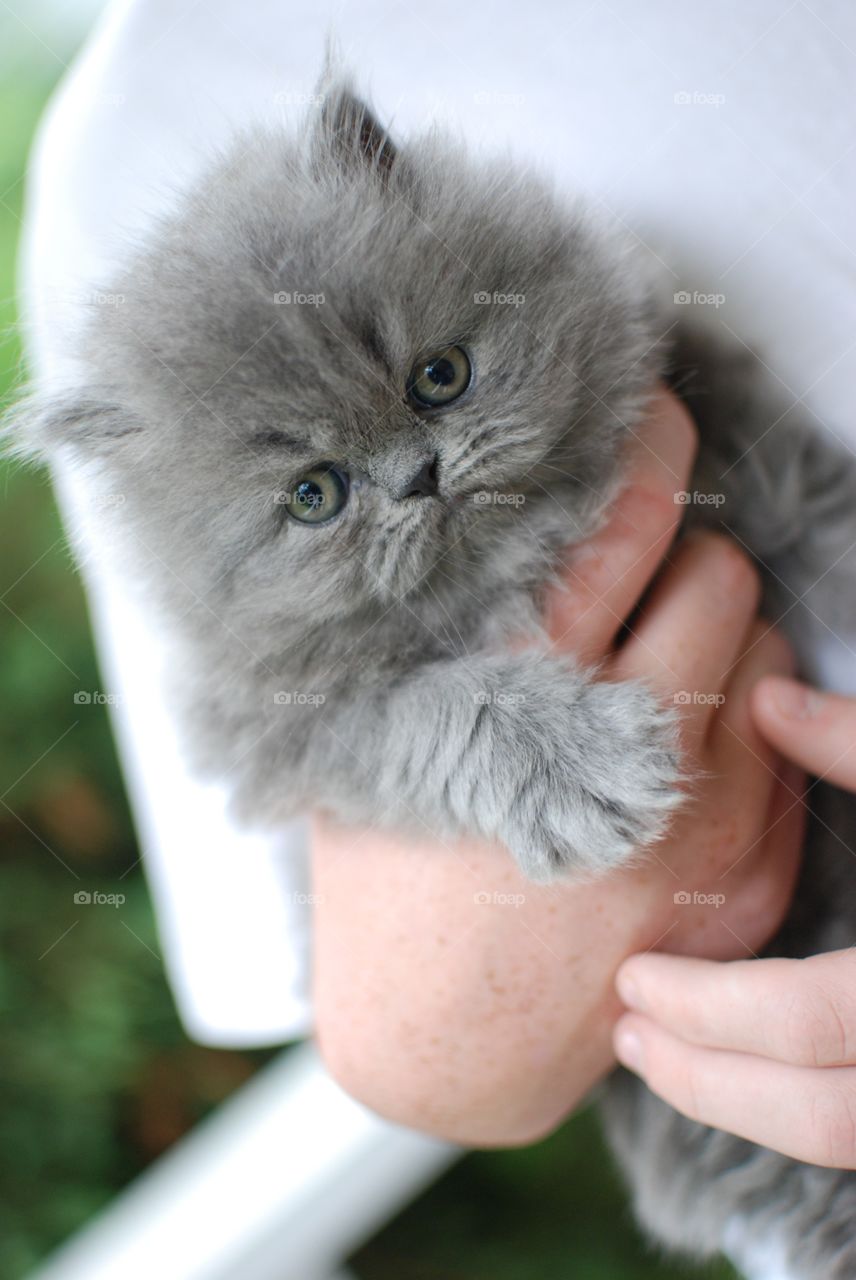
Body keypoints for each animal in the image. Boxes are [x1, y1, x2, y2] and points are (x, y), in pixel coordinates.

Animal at [15, 72, 856, 1280]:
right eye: (314, 495)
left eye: (438, 378)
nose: (417, 475)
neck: (523, 557)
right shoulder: (294, 732)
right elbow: (451, 708)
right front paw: (586, 771)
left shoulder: (713, 402)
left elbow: (816, 505)